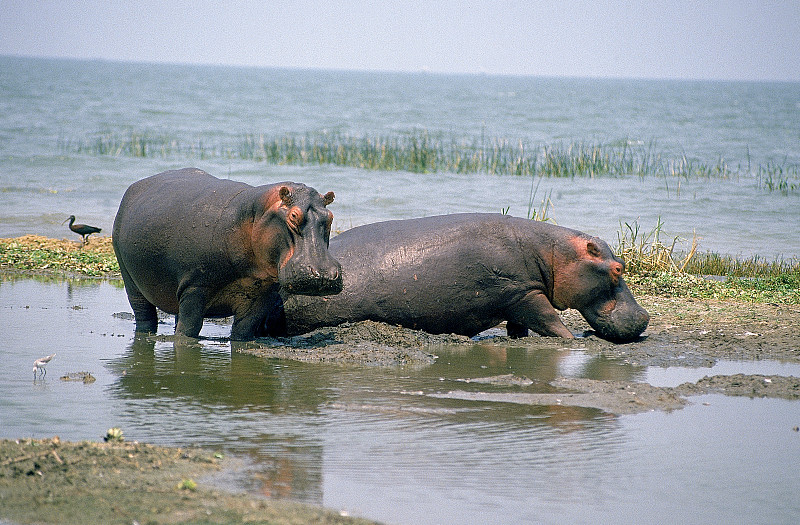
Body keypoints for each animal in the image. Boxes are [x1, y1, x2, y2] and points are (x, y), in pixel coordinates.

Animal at [111, 168, 342, 340]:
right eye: (293, 216)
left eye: (330, 217)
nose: (323, 274)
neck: (254, 214)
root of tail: (135, 186)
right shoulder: (196, 287)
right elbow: (188, 331)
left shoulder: (262, 295)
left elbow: (243, 331)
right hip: (131, 281)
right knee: (144, 316)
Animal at [266, 211, 652, 342]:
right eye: (617, 269)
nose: (646, 316)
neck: (554, 253)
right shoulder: (524, 293)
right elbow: (549, 320)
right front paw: (574, 339)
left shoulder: (518, 297)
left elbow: (521, 326)